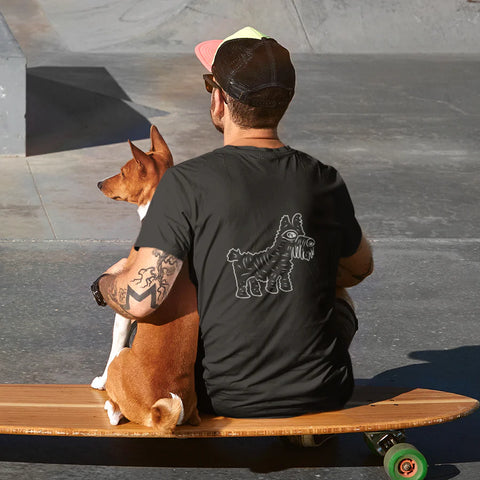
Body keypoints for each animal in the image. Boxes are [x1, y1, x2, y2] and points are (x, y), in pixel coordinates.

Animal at [94, 125, 201, 434]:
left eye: (122, 172)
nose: (99, 183)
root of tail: (160, 414)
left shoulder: (125, 308)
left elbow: (114, 346)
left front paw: (101, 382)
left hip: (123, 360)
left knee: (117, 411)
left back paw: (110, 405)